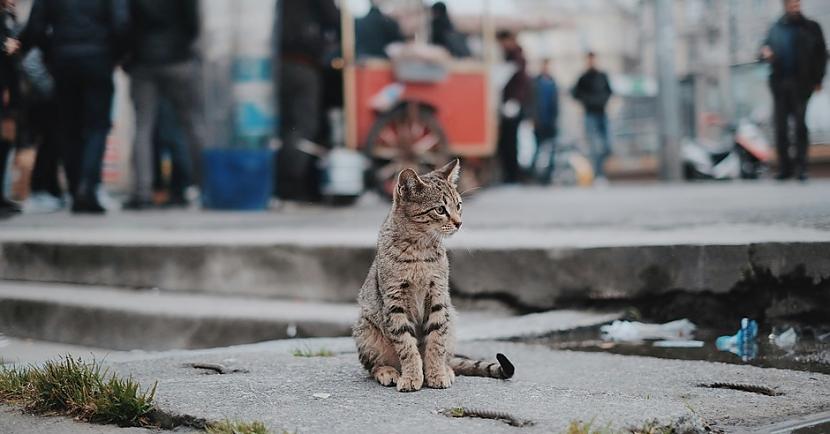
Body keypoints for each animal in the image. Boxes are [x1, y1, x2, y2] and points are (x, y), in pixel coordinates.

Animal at [352, 160, 512, 394]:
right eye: (440, 209)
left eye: (459, 205)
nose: (459, 223)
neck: (420, 249)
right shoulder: (394, 302)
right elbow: (407, 346)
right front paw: (411, 376)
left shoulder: (438, 296)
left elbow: (436, 343)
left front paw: (436, 374)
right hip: (366, 330)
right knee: (372, 365)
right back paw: (388, 371)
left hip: (451, 319)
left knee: (447, 353)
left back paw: (446, 369)